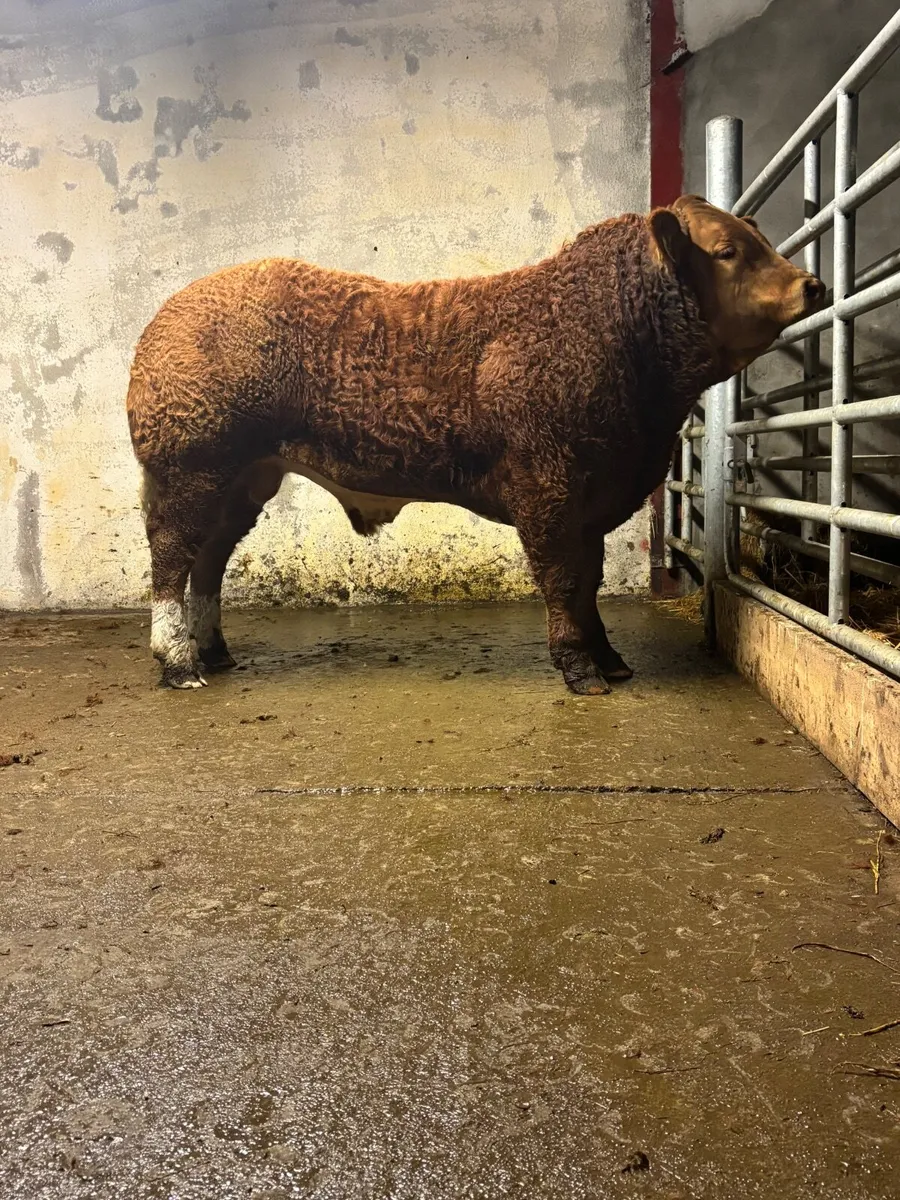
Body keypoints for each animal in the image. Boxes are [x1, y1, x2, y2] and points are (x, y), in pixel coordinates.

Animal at [126, 195, 824, 692]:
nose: (811, 284)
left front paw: (611, 661)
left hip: (244, 478)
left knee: (209, 559)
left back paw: (214, 653)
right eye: (728, 250)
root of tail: (170, 312)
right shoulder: (547, 486)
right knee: (172, 557)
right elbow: (564, 578)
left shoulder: (592, 498)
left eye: (761, 241)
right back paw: (178, 663)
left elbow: (590, 580)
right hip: (190, 465)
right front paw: (581, 671)